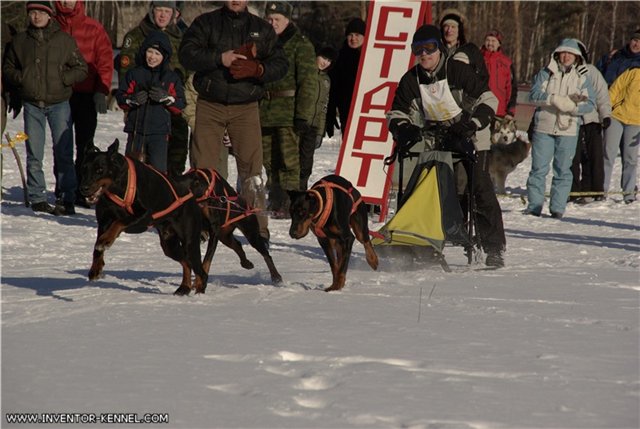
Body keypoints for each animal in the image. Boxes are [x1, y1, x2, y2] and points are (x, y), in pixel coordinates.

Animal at [79, 139, 210, 296]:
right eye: (83, 169)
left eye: (100, 169)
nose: (83, 188)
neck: (119, 185)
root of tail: (191, 197)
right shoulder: (104, 221)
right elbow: (97, 247)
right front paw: (96, 268)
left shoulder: (144, 215)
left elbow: (119, 222)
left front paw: (107, 240)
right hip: (169, 244)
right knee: (186, 263)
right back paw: (184, 287)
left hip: (189, 243)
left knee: (201, 272)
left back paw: (199, 292)